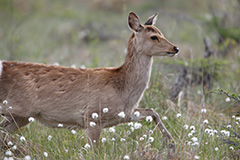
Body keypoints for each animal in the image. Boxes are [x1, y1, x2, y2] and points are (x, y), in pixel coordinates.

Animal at [0, 11, 178, 149]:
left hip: (20, 116)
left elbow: (152, 111)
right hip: (16, 108)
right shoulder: (92, 115)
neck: (122, 88)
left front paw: (171, 142)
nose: (175, 48)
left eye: (161, 33)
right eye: (154, 37)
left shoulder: (124, 114)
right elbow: (93, 150)